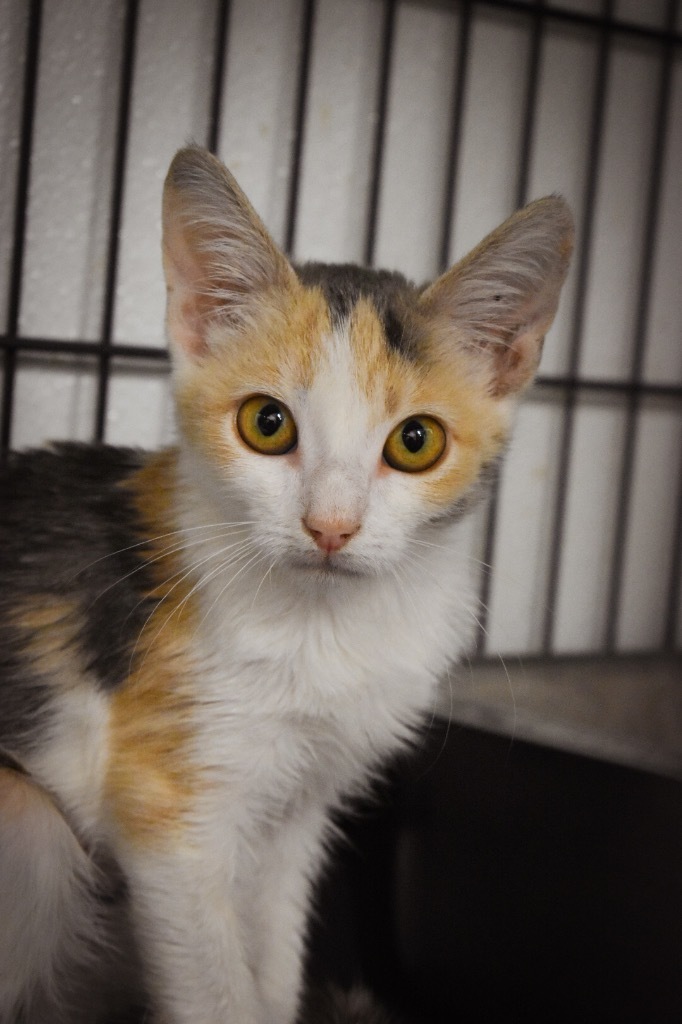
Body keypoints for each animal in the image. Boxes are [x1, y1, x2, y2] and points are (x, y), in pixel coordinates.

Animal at [0, 146, 569, 1024]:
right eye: (267, 425)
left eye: (415, 441)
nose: (330, 526)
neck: (325, 627)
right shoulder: (168, 820)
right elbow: (216, 991)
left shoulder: (298, 813)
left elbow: (270, 963)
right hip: (26, 824)